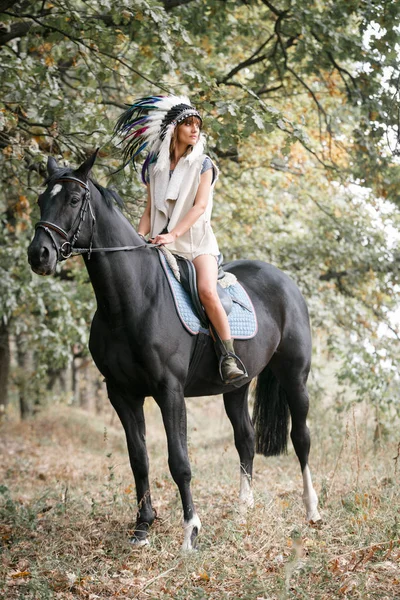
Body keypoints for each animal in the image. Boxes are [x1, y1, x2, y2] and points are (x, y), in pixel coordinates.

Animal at [27, 154, 322, 548]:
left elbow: (178, 461)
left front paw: (190, 530)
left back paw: (312, 511)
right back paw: (243, 510)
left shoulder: (170, 391)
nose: (38, 254)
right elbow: (139, 459)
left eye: (74, 200)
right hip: (236, 387)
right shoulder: (122, 394)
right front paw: (142, 527)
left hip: (294, 376)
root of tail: (285, 281)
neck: (132, 300)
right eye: (42, 200)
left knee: (301, 438)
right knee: (245, 440)